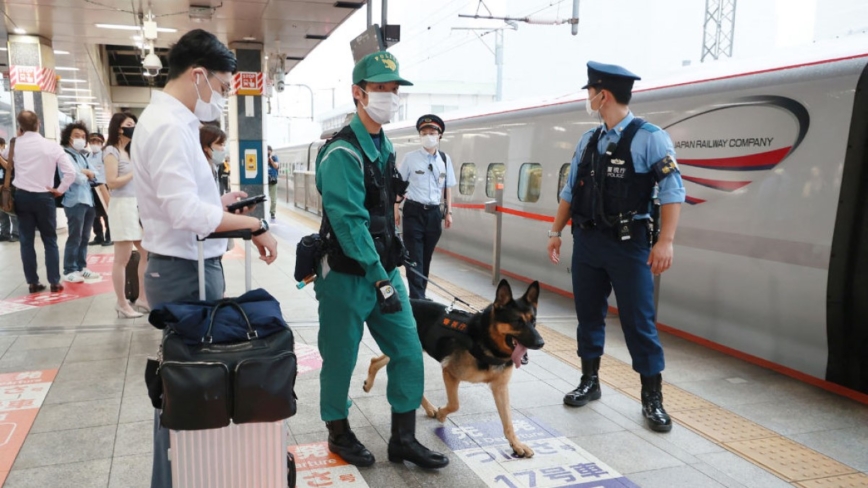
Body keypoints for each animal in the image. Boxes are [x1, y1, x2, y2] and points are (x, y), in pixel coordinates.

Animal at [362, 278, 544, 458]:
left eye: (533, 321)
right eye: (517, 322)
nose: (541, 343)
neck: (486, 341)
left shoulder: (500, 388)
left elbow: (508, 422)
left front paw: (516, 445)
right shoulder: (449, 373)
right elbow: (455, 404)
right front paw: (442, 414)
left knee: (376, 361)